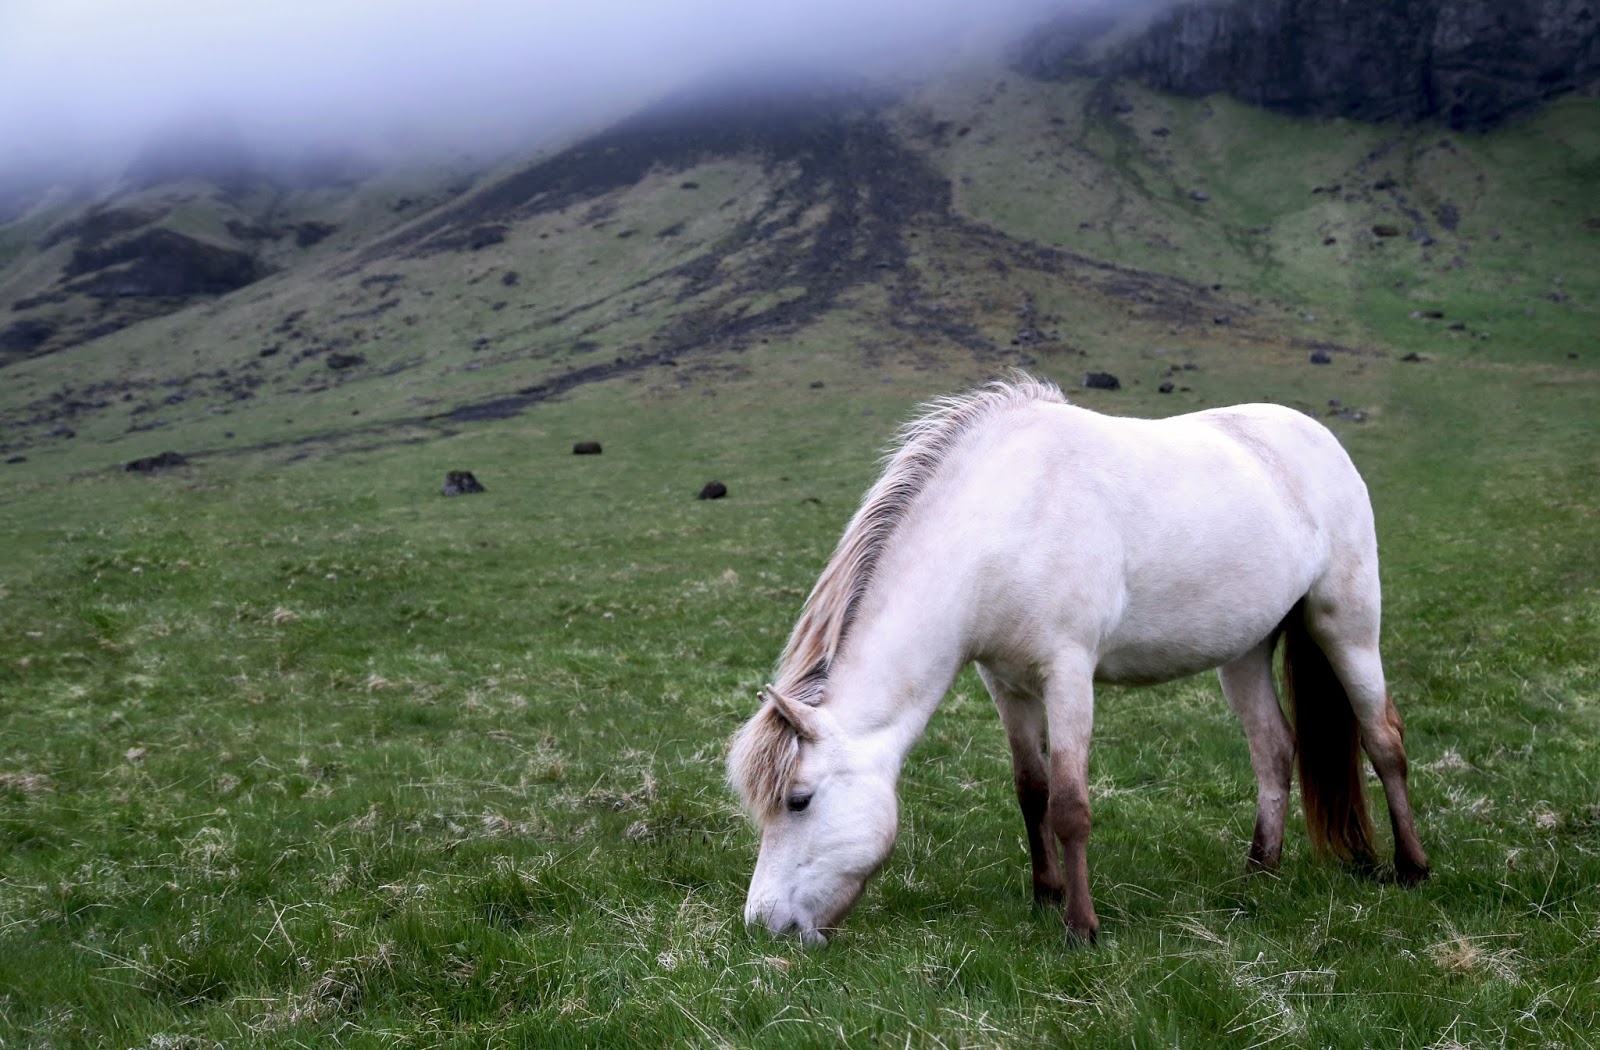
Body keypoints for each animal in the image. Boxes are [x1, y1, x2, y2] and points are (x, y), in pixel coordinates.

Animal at [727, 374, 1428, 946]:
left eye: (799, 801)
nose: (763, 924)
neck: (1003, 521)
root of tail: (1316, 436)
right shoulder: (1005, 683)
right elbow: (1030, 790)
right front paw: (1046, 895)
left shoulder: (1067, 674)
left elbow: (1069, 805)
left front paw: (1081, 927)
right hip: (1246, 652)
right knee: (1274, 749)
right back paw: (1260, 871)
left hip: (1347, 626)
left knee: (1383, 739)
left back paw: (1412, 867)